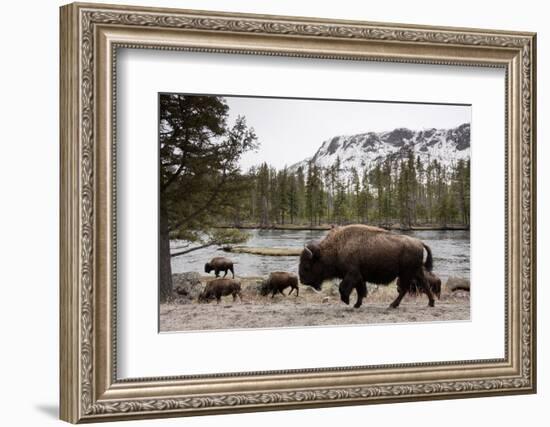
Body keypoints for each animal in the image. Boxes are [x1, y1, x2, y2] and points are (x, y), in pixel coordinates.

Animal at [300, 224, 438, 310]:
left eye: (306, 266)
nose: (302, 280)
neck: (336, 248)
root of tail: (419, 242)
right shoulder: (359, 277)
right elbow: (360, 291)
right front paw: (356, 304)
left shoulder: (352, 275)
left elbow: (343, 288)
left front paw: (347, 301)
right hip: (415, 272)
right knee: (424, 285)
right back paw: (430, 303)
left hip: (406, 273)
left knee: (405, 289)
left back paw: (392, 305)